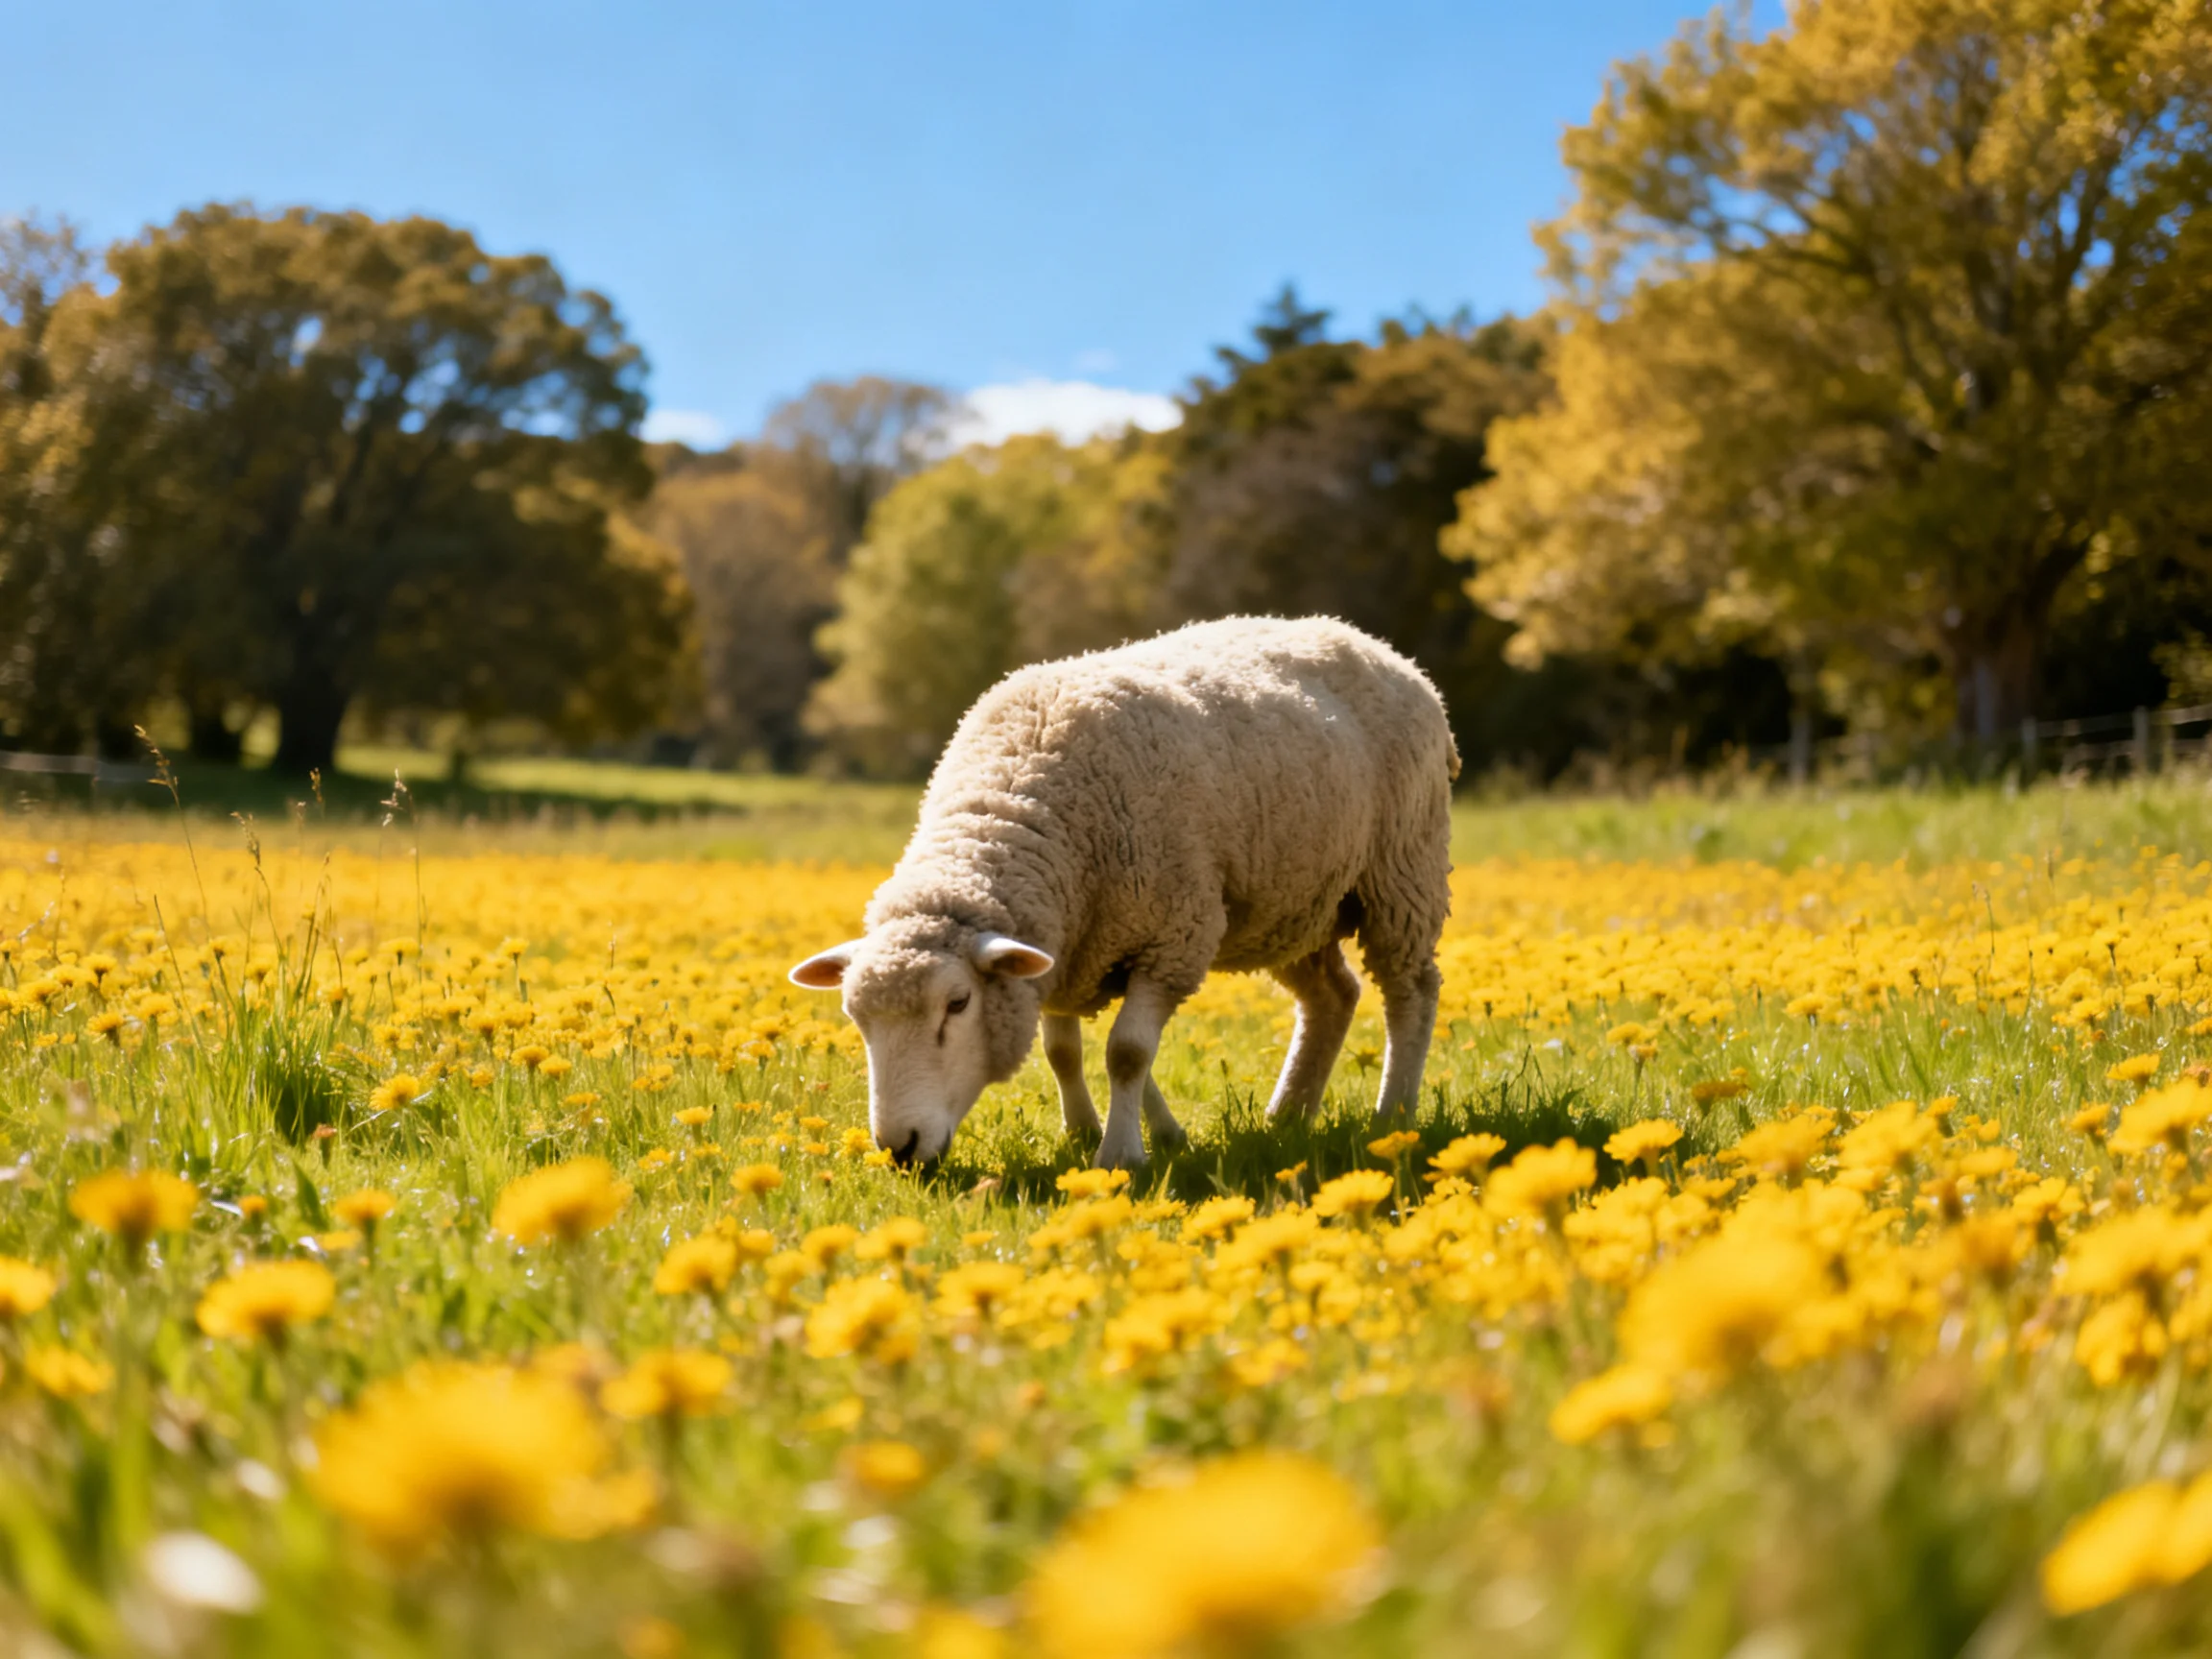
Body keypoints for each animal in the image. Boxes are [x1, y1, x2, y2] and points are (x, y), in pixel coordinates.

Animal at [789, 614, 1459, 1170]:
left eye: (958, 1004)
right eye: (855, 1016)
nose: (898, 1148)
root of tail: (1380, 647)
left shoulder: (1173, 934)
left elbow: (1129, 1051)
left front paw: (1120, 1153)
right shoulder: (1065, 943)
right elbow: (1064, 1051)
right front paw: (1106, 1130)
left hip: (1402, 870)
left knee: (1411, 991)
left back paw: (1392, 1114)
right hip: (1293, 904)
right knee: (1332, 997)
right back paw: (1287, 1115)